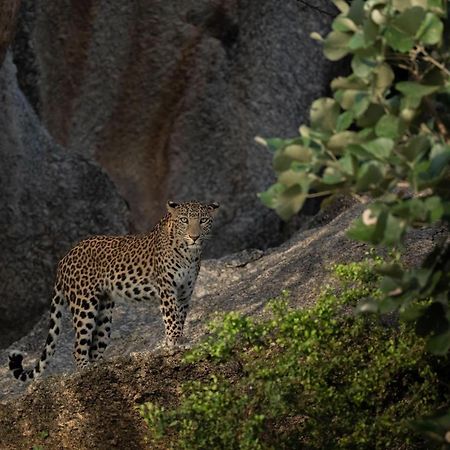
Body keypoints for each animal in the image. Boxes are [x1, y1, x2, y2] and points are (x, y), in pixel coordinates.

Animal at [8, 202, 220, 382]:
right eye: (184, 220)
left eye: (203, 220)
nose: (194, 237)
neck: (189, 254)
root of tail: (64, 258)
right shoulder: (167, 289)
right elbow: (172, 319)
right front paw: (174, 342)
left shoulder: (185, 293)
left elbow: (181, 318)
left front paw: (178, 341)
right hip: (84, 305)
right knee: (78, 348)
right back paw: (85, 373)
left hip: (104, 310)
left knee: (95, 348)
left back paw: (101, 369)